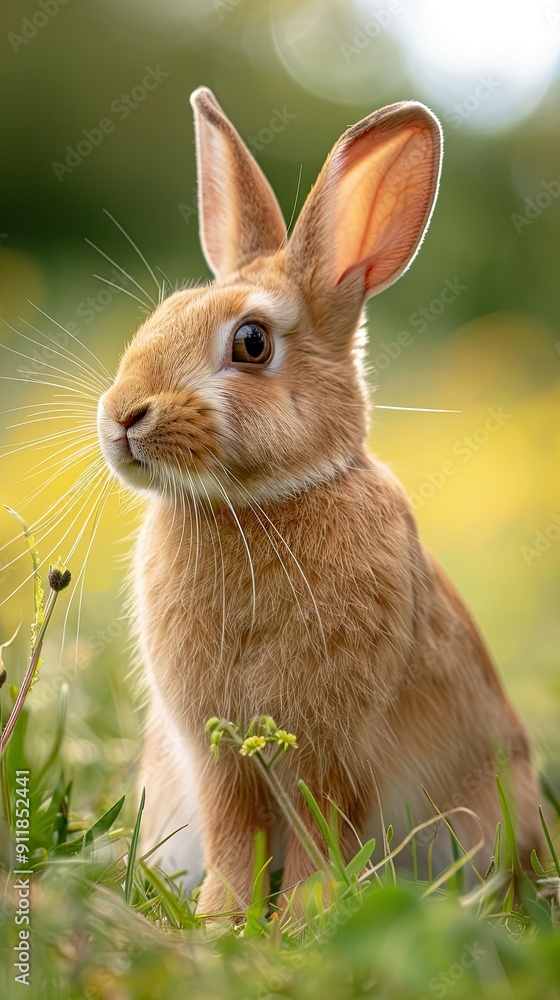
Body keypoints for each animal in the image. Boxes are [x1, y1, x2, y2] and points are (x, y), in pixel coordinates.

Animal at [97, 88, 542, 914]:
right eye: (160, 318)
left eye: (251, 343)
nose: (121, 417)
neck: (260, 502)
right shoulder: (216, 757)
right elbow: (234, 836)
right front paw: (223, 921)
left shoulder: (335, 752)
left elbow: (316, 837)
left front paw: (301, 921)